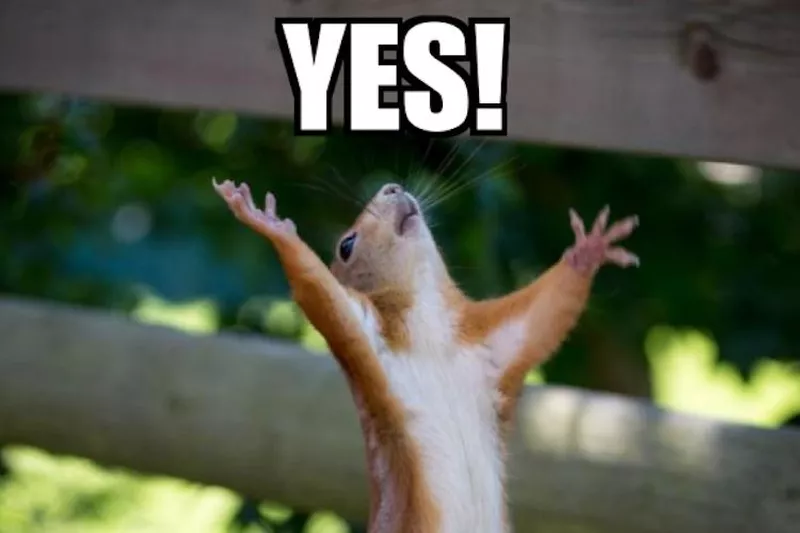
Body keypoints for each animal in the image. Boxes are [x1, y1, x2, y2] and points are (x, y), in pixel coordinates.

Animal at [212, 178, 639, 533]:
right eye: (345, 246)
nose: (391, 187)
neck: (430, 330)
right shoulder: (367, 339)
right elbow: (320, 295)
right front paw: (271, 226)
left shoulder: (492, 346)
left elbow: (546, 313)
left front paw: (587, 251)